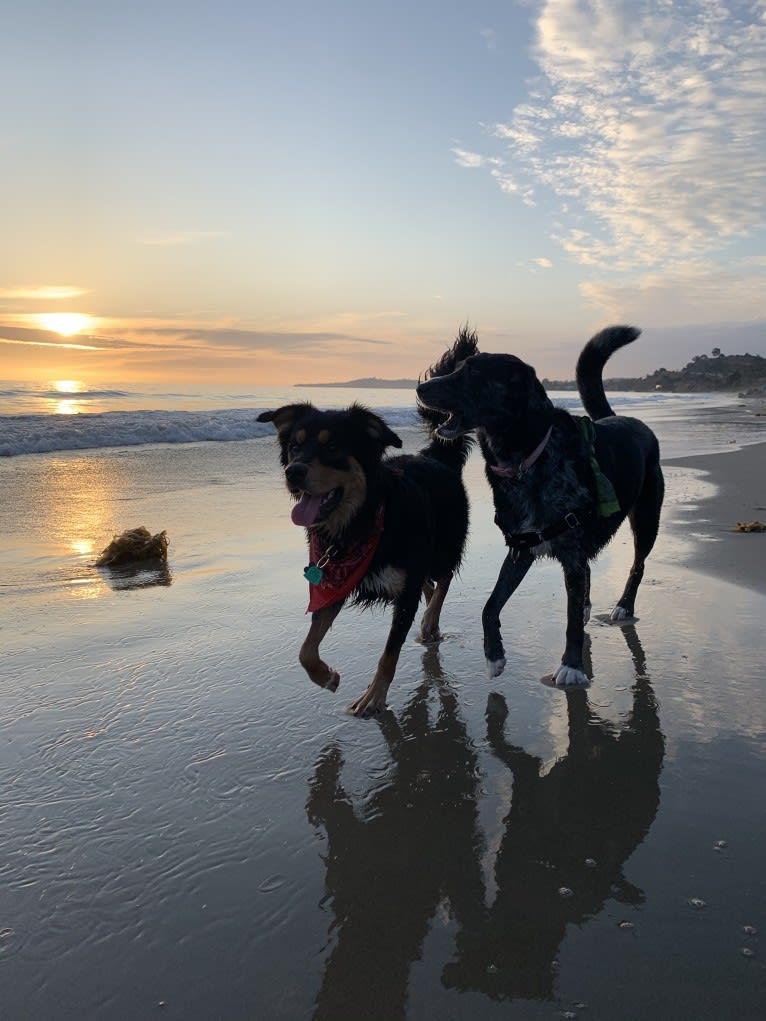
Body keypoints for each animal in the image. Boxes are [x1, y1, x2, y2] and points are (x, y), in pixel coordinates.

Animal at [258, 330, 473, 714]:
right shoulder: (331, 578)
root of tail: (437, 455)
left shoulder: (401, 588)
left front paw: (373, 696)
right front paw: (326, 677)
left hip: (444, 544)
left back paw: (430, 621)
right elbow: (305, 649)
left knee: (444, 578)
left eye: (332, 449)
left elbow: (389, 653)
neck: (359, 522)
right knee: (429, 584)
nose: (293, 472)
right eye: (295, 447)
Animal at [416, 326, 661, 690]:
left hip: (646, 520)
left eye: (473, 373)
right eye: (458, 367)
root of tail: (624, 419)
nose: (420, 388)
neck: (525, 461)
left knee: (637, 565)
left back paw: (622, 606)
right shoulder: (521, 549)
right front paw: (494, 656)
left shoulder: (570, 552)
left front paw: (571, 667)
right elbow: (489, 607)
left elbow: (570, 622)